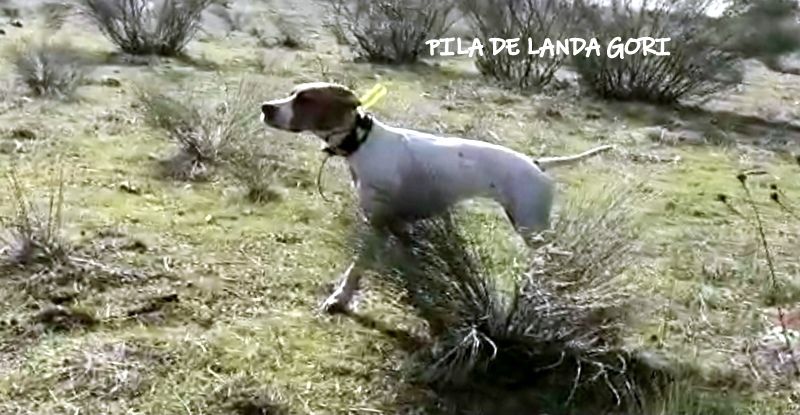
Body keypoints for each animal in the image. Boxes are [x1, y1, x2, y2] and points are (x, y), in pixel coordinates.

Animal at [262, 83, 612, 314]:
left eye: (305, 98)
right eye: (294, 93)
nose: (266, 107)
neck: (362, 142)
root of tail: (538, 164)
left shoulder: (377, 222)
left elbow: (357, 267)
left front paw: (340, 298)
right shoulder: (397, 225)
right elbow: (410, 264)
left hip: (532, 227)